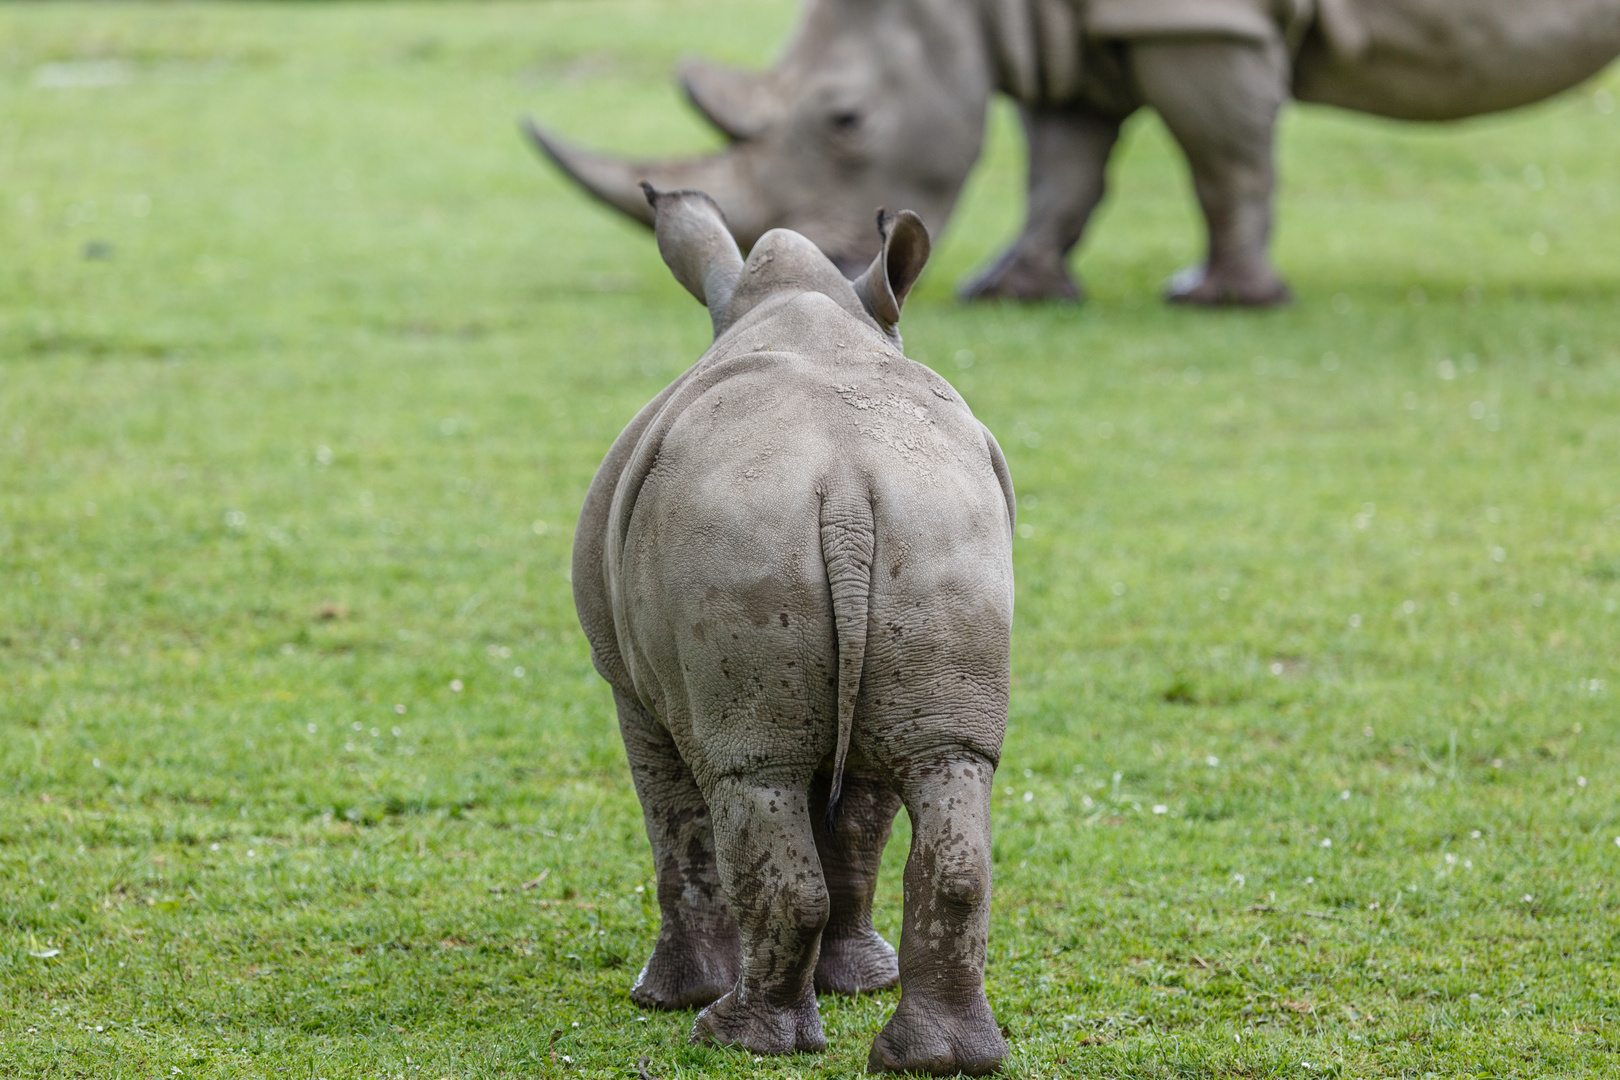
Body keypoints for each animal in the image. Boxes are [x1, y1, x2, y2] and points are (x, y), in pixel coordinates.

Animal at [531, 1, 1620, 304]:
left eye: (845, 121)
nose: (828, 265)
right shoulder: (1073, 33)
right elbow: (1064, 170)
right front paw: (1015, 289)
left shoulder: (1202, 21)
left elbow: (1224, 156)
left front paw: (1221, 299)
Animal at [573, 186, 1010, 1075]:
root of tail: (845, 484)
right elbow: (859, 826)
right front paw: (855, 985)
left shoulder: (627, 681)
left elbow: (675, 825)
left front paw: (665, 999)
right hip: (932, 519)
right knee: (946, 765)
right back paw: (937, 1058)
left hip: (740, 528)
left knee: (749, 778)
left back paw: (730, 1034)